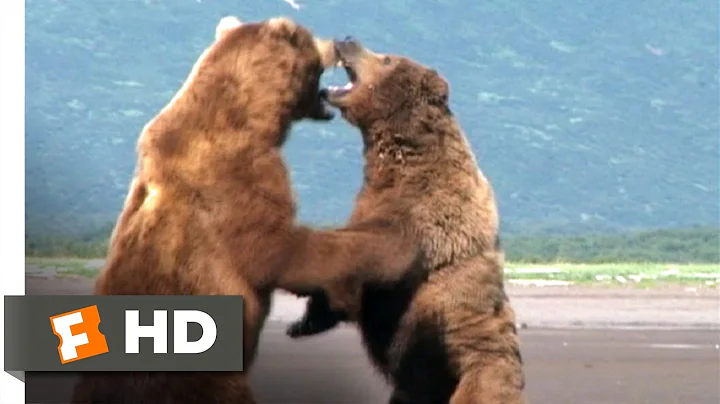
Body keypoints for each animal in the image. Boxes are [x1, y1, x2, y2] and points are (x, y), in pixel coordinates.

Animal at [70, 18, 422, 404]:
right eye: (311, 37)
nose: (336, 40)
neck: (250, 118)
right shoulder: (239, 179)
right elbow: (284, 250)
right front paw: (393, 248)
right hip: (206, 382)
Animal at [285, 37, 527, 404]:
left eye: (386, 58)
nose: (347, 39)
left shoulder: (423, 216)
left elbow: (370, 250)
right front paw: (305, 321)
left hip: (475, 370)